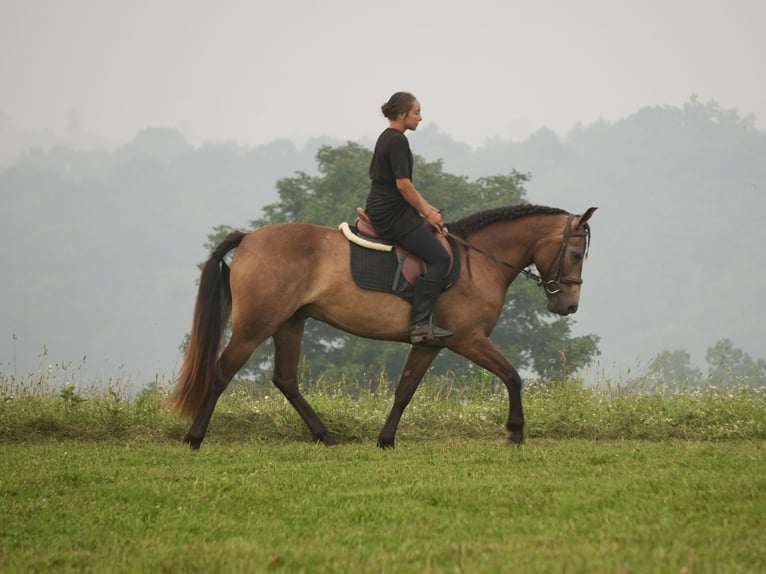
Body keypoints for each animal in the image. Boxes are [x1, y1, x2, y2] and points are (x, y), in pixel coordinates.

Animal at [170, 204, 597, 449]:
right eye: (576, 253)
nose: (569, 305)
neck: (479, 261)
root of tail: (248, 239)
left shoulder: (429, 343)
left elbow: (405, 389)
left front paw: (386, 439)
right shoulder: (468, 339)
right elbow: (512, 376)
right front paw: (515, 431)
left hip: (290, 323)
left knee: (286, 380)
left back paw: (325, 437)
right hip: (255, 325)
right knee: (223, 371)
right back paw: (194, 438)